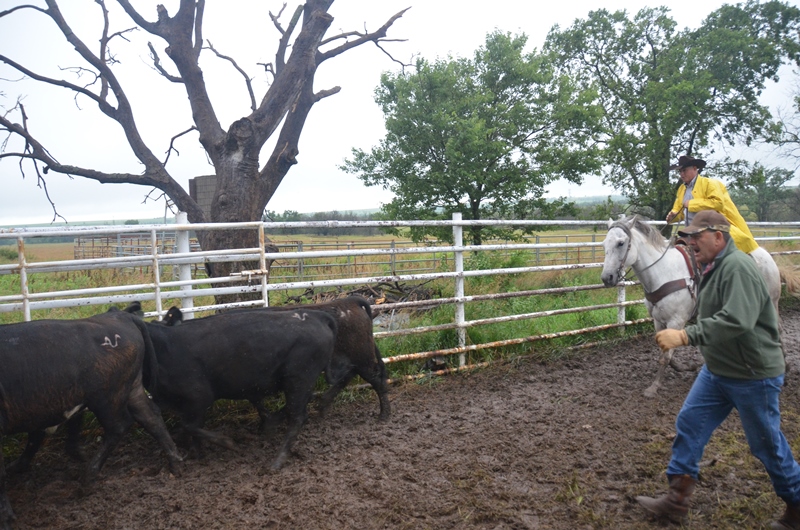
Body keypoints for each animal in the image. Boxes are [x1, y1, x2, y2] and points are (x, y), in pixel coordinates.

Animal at [0, 309, 184, 530]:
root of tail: (118, 315)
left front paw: (6, 516)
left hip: (106, 398)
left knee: (119, 427)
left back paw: (88, 476)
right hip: (132, 389)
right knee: (152, 419)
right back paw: (175, 463)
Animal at [125, 305, 338, 470]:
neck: (165, 349)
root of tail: (316, 315)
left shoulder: (200, 397)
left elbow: (189, 425)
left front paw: (228, 443)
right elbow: (185, 427)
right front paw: (195, 453)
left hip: (299, 378)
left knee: (298, 417)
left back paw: (277, 461)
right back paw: (271, 426)